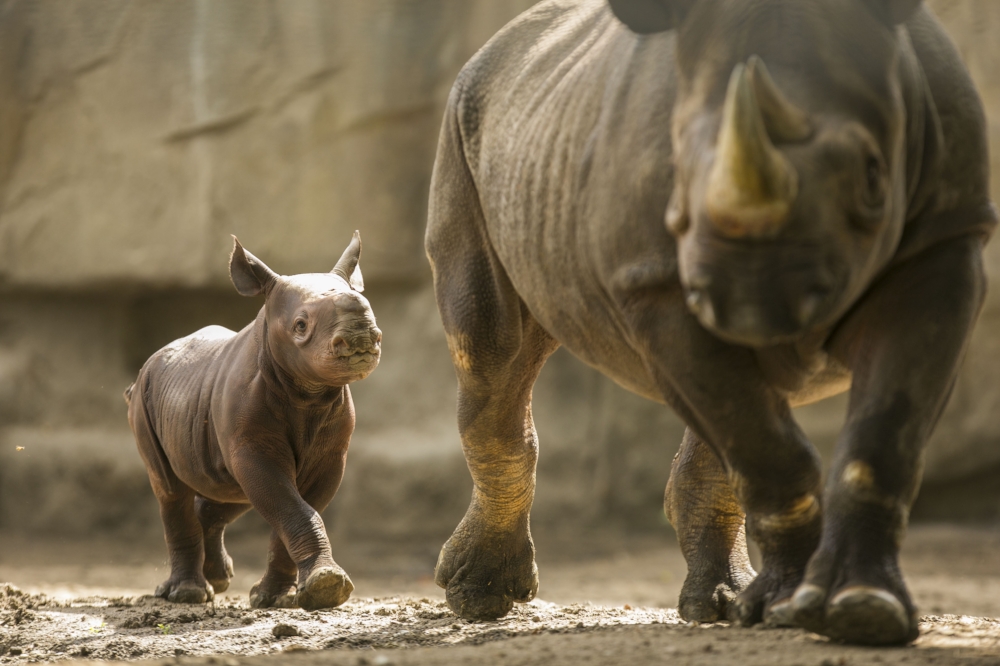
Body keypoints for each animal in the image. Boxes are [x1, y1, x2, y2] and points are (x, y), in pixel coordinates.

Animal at [122, 232, 378, 608]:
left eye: (372, 313)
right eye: (300, 326)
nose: (362, 338)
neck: (308, 391)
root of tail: (152, 361)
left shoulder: (330, 457)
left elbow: (295, 508)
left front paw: (280, 597)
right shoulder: (252, 445)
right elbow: (291, 507)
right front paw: (326, 587)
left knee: (230, 490)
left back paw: (217, 578)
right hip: (143, 399)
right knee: (170, 489)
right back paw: (188, 594)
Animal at [426, 0, 996, 644]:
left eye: (874, 176)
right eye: (676, 174)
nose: (751, 300)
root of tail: (496, 45)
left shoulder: (947, 237)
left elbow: (880, 436)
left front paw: (863, 608)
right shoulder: (655, 282)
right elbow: (767, 445)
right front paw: (794, 605)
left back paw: (720, 602)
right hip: (469, 126)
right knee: (493, 351)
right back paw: (480, 596)